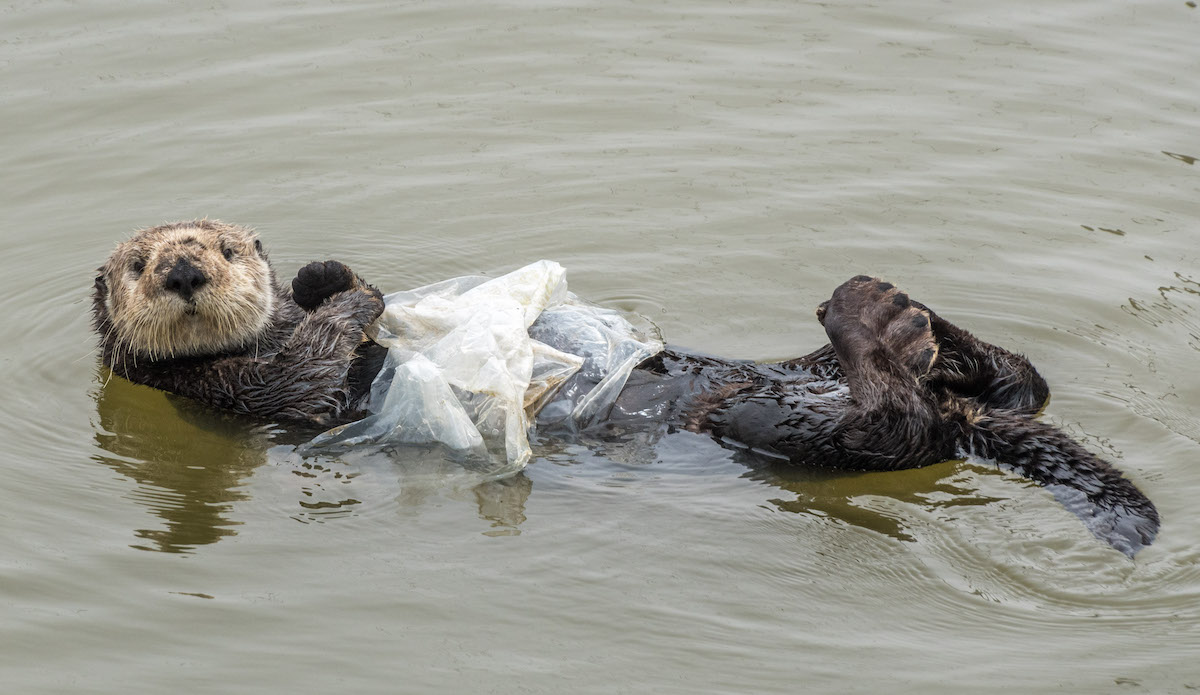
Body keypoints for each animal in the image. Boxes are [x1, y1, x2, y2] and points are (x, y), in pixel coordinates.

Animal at [92, 220, 1159, 555]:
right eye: (143, 262)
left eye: (224, 246)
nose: (184, 268)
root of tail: (954, 416)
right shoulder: (241, 393)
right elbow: (312, 372)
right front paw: (348, 296)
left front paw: (330, 273)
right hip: (786, 428)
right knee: (893, 421)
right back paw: (884, 324)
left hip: (805, 383)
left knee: (1021, 383)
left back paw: (920, 322)